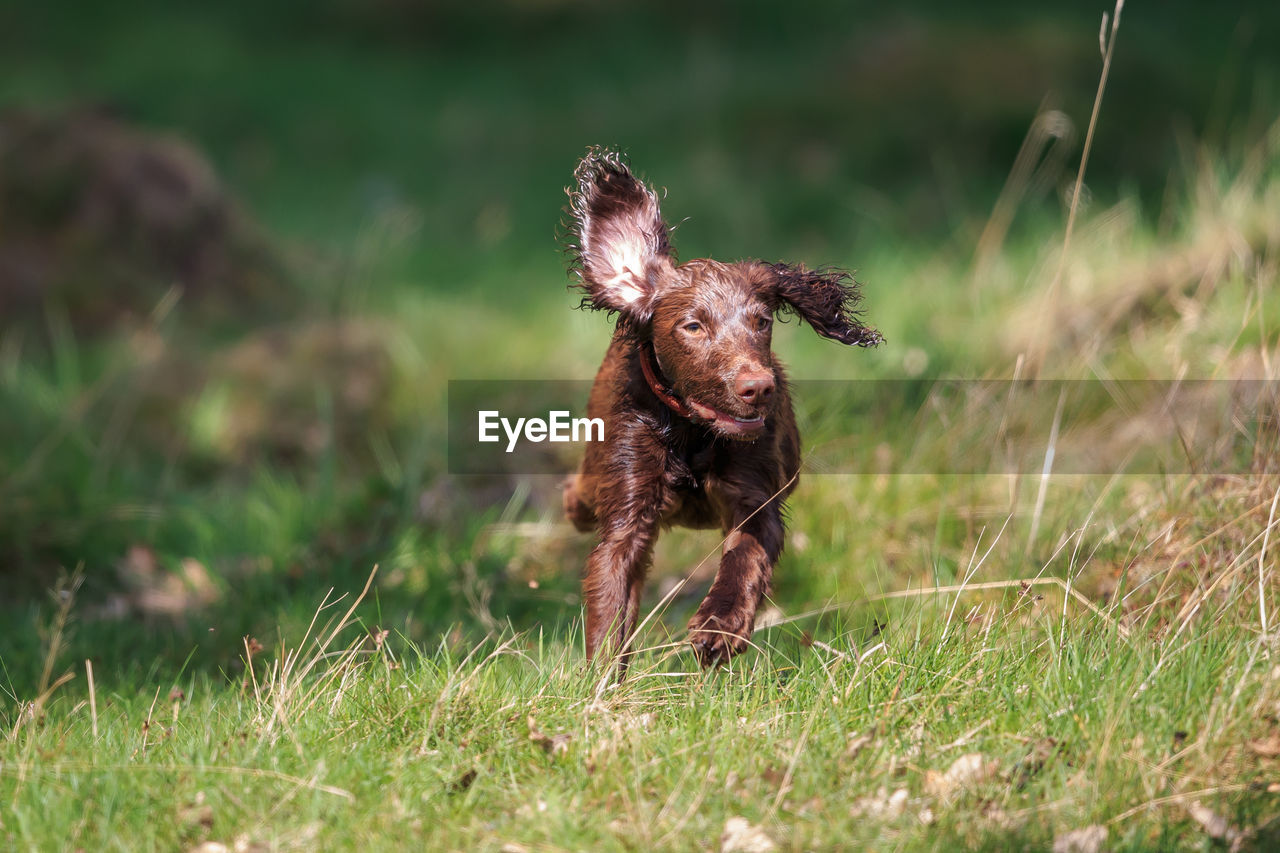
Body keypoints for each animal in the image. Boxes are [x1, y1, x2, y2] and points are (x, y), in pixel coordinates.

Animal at [563, 151, 880, 671]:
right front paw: (601, 682)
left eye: (762, 321)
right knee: (580, 496)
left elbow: (744, 560)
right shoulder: (628, 512)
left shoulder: (757, 497)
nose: (759, 388)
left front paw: (720, 627)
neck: (693, 434)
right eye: (693, 326)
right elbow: (612, 602)